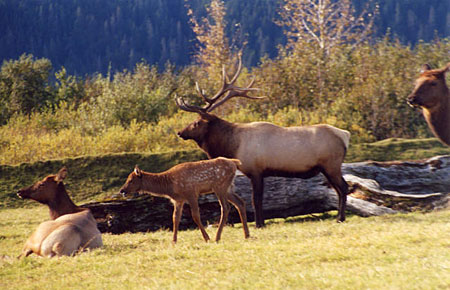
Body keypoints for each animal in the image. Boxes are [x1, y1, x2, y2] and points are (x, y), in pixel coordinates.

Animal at [118, 156, 250, 242]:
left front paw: (206, 238)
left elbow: (195, 216)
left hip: (220, 186)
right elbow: (175, 218)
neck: (170, 186)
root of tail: (235, 163)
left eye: (131, 180)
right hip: (228, 188)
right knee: (240, 202)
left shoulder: (191, 193)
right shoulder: (178, 200)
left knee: (225, 207)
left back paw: (217, 237)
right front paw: (174, 241)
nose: (122, 190)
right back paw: (247, 235)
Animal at [177, 57, 352, 228]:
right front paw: (260, 223)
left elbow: (256, 200)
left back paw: (340, 218)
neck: (232, 146)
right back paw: (339, 217)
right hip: (326, 168)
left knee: (344, 188)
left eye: (196, 122)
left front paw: (258, 224)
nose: (180, 132)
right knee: (338, 189)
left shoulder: (256, 170)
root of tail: (344, 135)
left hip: (331, 164)